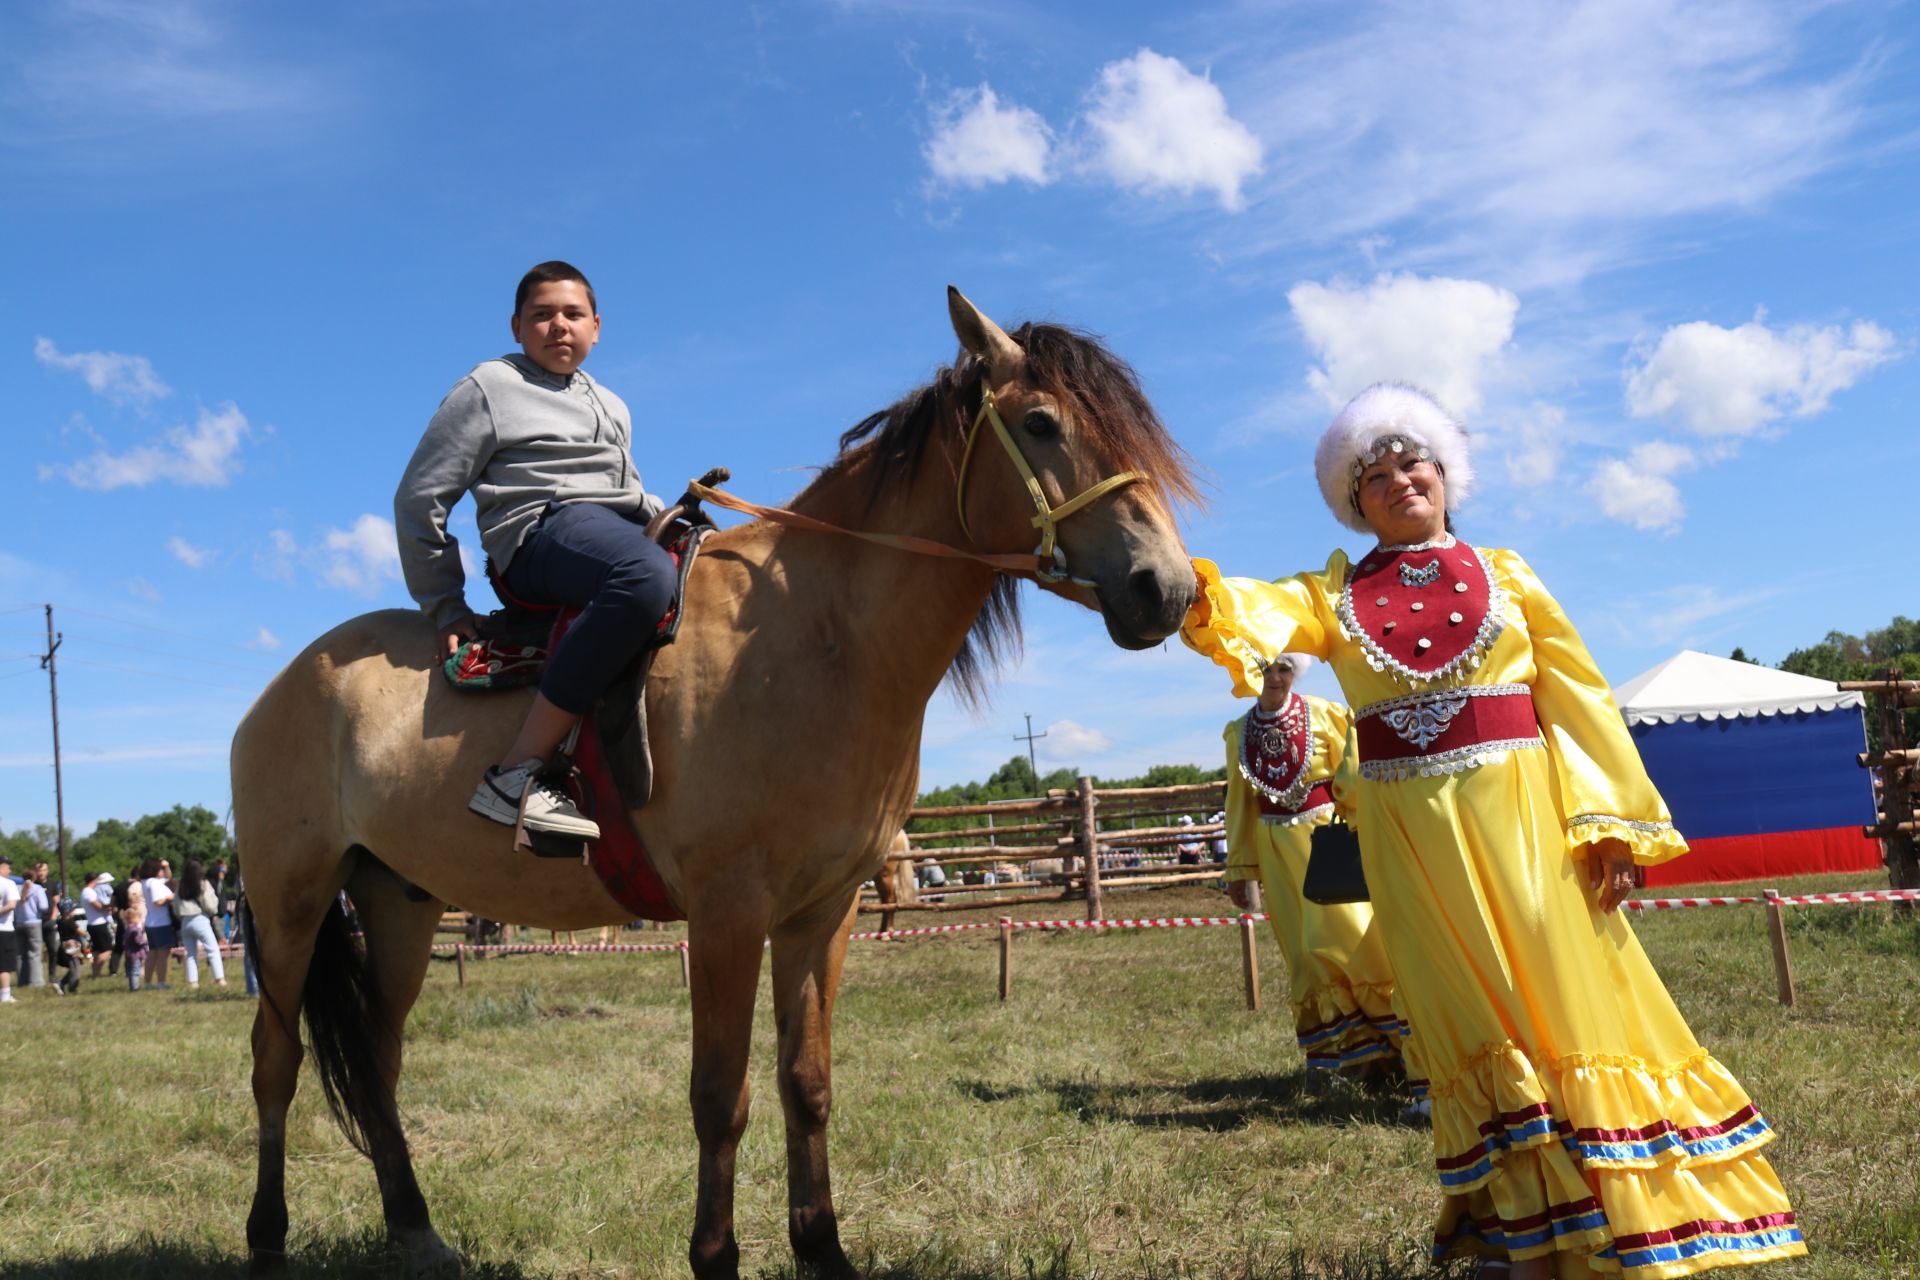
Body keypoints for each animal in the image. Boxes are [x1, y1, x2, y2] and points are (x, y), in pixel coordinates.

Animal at [232, 285, 1190, 1274]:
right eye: (1040, 423)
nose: (1167, 588)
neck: (822, 636)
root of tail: (286, 685)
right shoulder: (730, 913)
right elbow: (719, 1098)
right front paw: (716, 1255)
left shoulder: (822, 913)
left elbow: (806, 1082)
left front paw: (823, 1249)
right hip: (292, 903)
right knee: (276, 1059)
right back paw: (267, 1238)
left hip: (400, 902)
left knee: (379, 1060)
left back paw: (417, 1230)